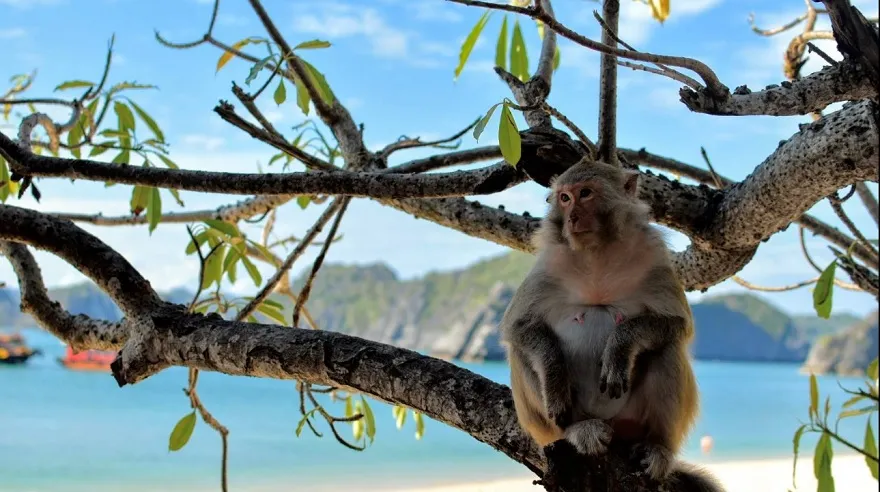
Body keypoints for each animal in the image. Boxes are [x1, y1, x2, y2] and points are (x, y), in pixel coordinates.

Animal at [500, 158, 723, 491]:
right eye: (564, 198)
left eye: (586, 193)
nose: (572, 217)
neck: (597, 251)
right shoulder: (548, 263)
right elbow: (519, 328)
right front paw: (554, 378)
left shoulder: (653, 256)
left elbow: (676, 324)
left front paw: (620, 347)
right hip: (551, 428)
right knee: (521, 353)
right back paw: (577, 430)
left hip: (631, 419)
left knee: (667, 349)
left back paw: (658, 448)